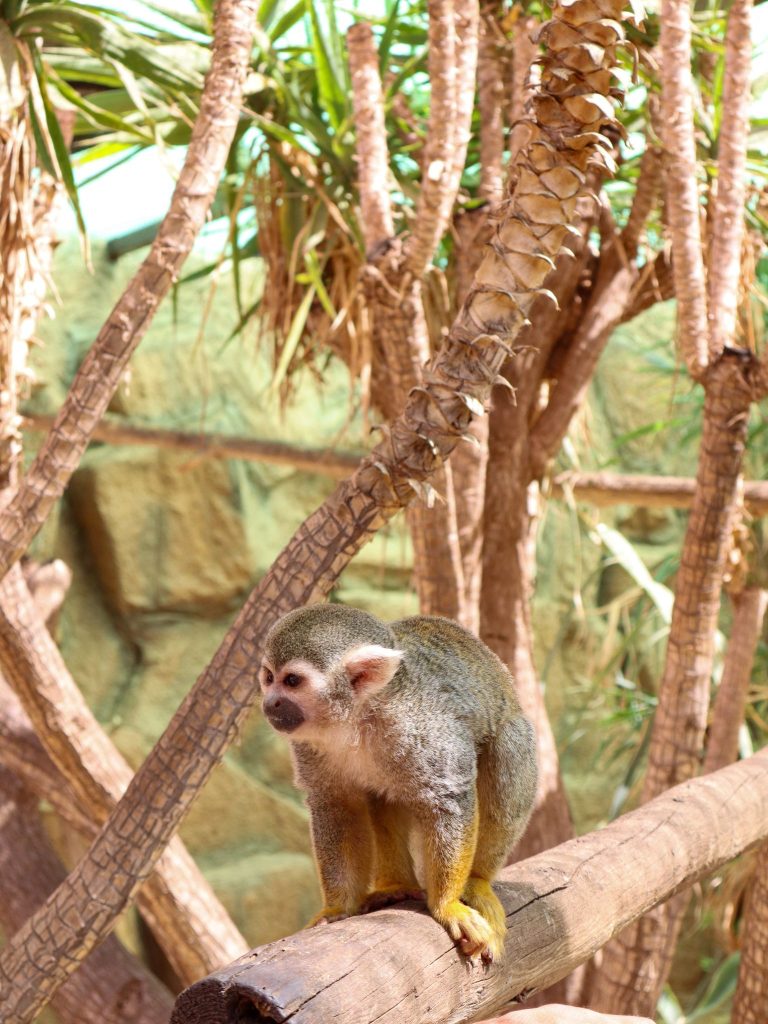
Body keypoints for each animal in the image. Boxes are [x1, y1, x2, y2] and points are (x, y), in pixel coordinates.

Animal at [259, 604, 537, 963]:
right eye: (268, 677)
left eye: (292, 681)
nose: (270, 703)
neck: (356, 717)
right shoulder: (307, 745)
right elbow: (337, 807)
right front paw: (336, 908)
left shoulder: (422, 725)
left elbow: (448, 798)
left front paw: (447, 905)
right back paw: (396, 886)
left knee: (507, 747)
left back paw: (476, 881)